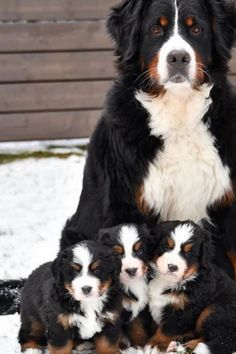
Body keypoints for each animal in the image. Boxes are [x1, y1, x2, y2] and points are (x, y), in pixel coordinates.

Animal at [1, 0, 236, 316]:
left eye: (196, 28)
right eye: (156, 29)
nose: (178, 57)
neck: (178, 113)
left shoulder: (224, 207)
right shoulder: (126, 206)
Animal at [146, 221, 236, 354]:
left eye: (188, 253)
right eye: (167, 247)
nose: (172, 266)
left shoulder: (184, 309)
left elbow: (167, 329)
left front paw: (155, 345)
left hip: (214, 310)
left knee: (221, 338)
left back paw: (188, 346)